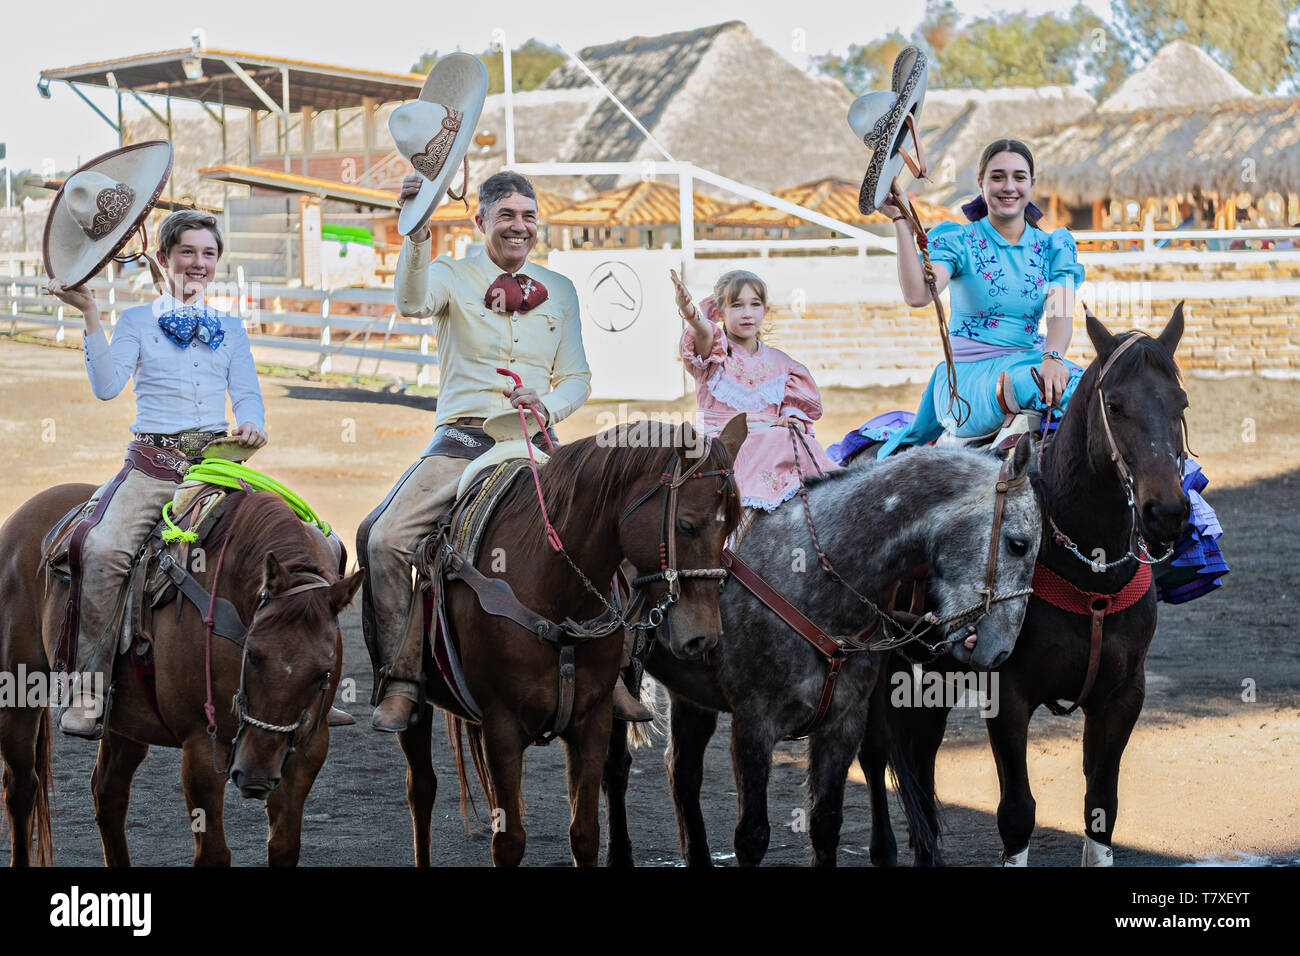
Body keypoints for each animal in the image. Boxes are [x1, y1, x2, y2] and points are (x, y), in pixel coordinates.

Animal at [0, 486, 364, 868]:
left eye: (323, 672)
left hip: (126, 723)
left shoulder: (308, 749)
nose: (256, 776)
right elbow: (214, 853)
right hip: (20, 691)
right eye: (252, 654)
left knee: (108, 795)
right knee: (21, 787)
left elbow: (283, 847)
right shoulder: (202, 748)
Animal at [392, 418, 743, 868]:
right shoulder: (501, 727)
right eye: (686, 525)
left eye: (730, 527)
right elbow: (509, 842)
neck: (553, 591)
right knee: (420, 790)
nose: (704, 636)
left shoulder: (592, 721)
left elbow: (585, 833)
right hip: (415, 712)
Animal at [603, 442, 1040, 868]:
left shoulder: (842, 724)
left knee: (683, 773)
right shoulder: (754, 724)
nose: (1001, 648)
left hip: (690, 695)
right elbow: (752, 836)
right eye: (1018, 544)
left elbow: (826, 825)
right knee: (616, 771)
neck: (812, 576)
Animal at [868, 308, 1190, 868]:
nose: (1165, 511)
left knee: (920, 760)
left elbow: (1101, 806)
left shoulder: (1123, 694)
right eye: (1114, 405)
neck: (1090, 573)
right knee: (870, 757)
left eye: (1181, 403)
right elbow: (1017, 812)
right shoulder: (1009, 692)